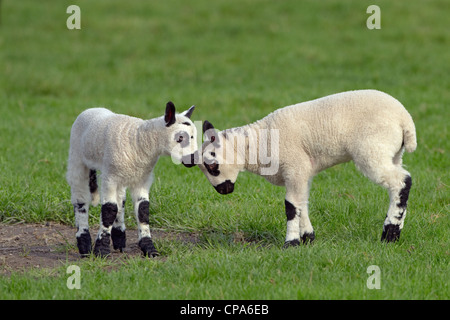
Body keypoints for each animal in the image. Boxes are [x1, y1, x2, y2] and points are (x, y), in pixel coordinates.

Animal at [66, 102, 197, 258]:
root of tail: (92, 108)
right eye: (180, 138)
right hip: (77, 159)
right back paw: (84, 245)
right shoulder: (110, 178)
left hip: (122, 174)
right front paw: (101, 251)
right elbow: (109, 210)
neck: (140, 140)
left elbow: (143, 210)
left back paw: (119, 240)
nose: (195, 159)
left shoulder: (142, 179)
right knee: (80, 198)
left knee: (120, 201)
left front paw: (149, 249)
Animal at [198, 89, 418, 245]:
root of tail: (405, 119)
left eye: (212, 165)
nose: (223, 191)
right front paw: (308, 239)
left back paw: (390, 234)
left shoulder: (295, 167)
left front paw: (291, 242)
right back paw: (393, 231)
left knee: (402, 181)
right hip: (392, 153)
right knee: (396, 185)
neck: (258, 143)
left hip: (372, 150)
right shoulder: (302, 173)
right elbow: (301, 203)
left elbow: (290, 206)